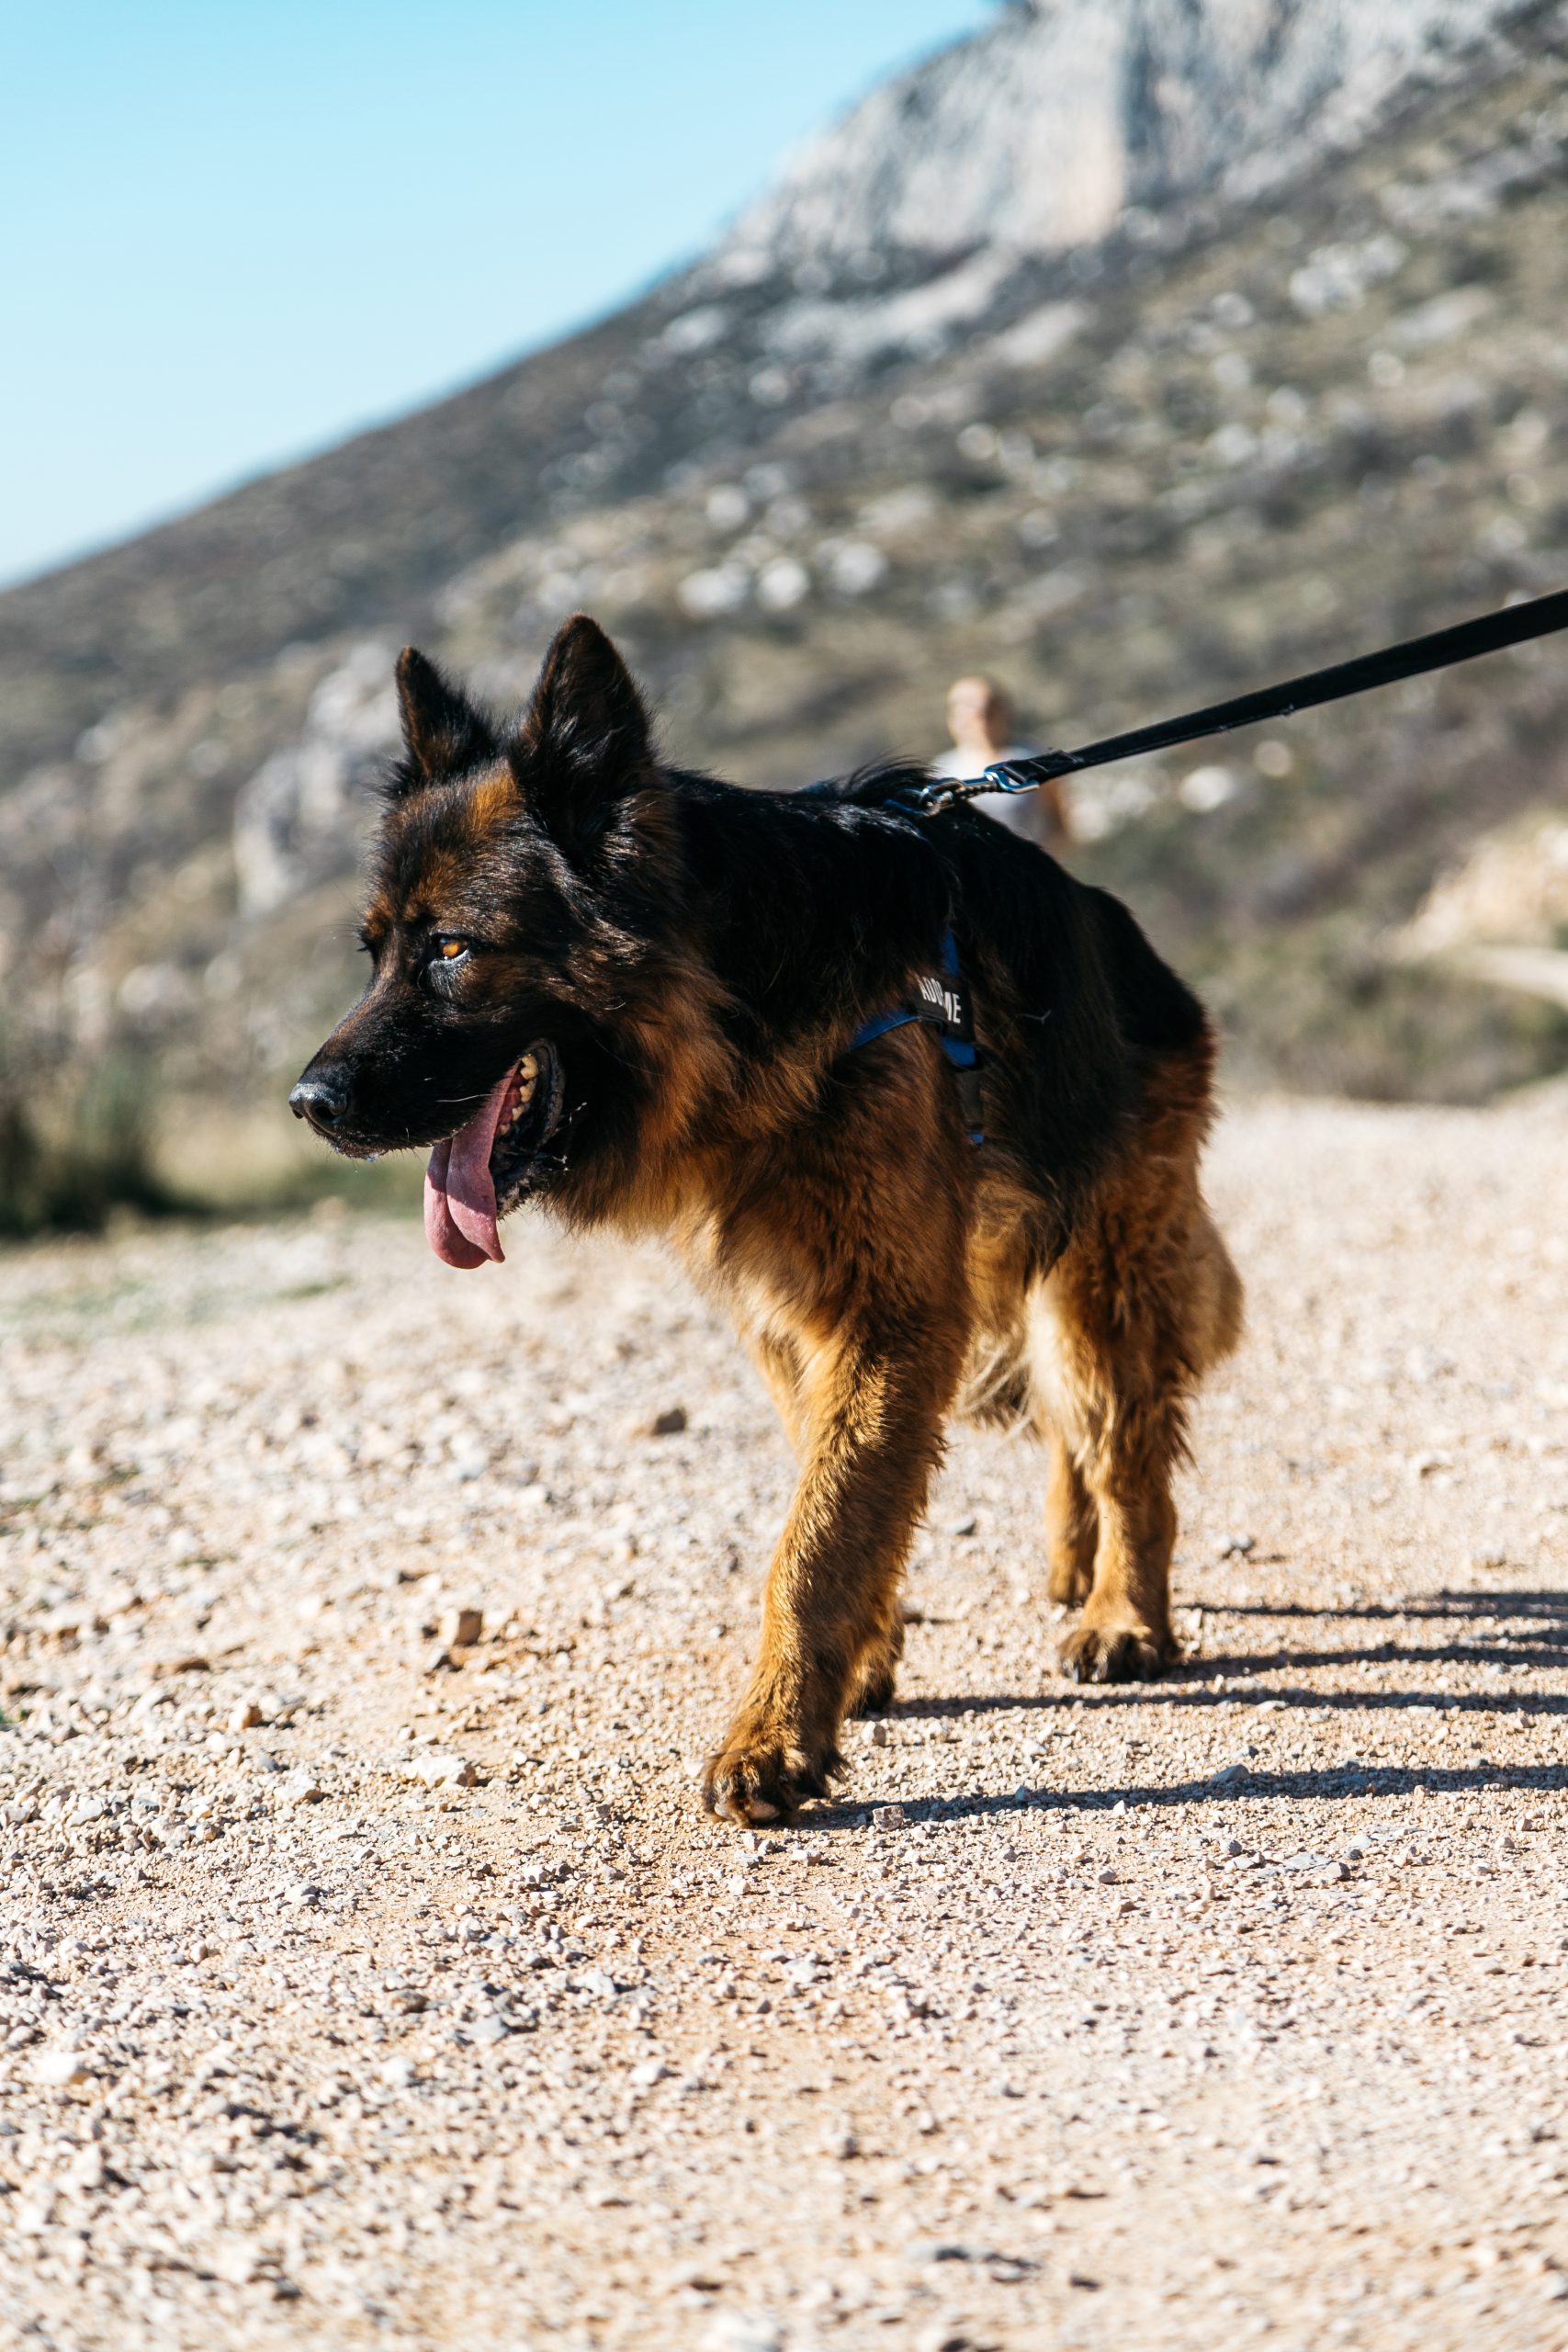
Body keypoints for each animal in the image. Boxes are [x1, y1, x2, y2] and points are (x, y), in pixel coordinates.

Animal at [291, 617, 1242, 1824]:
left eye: (453, 948)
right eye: (373, 953)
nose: (307, 1104)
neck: (736, 1007)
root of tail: (1134, 946)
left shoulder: (884, 1318)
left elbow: (816, 1536)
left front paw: (776, 1737)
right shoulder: (790, 1319)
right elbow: (839, 1497)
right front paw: (856, 1665)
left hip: (1097, 1281)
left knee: (1126, 1450)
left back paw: (1124, 1613)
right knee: (1076, 1430)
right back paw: (1075, 1568)